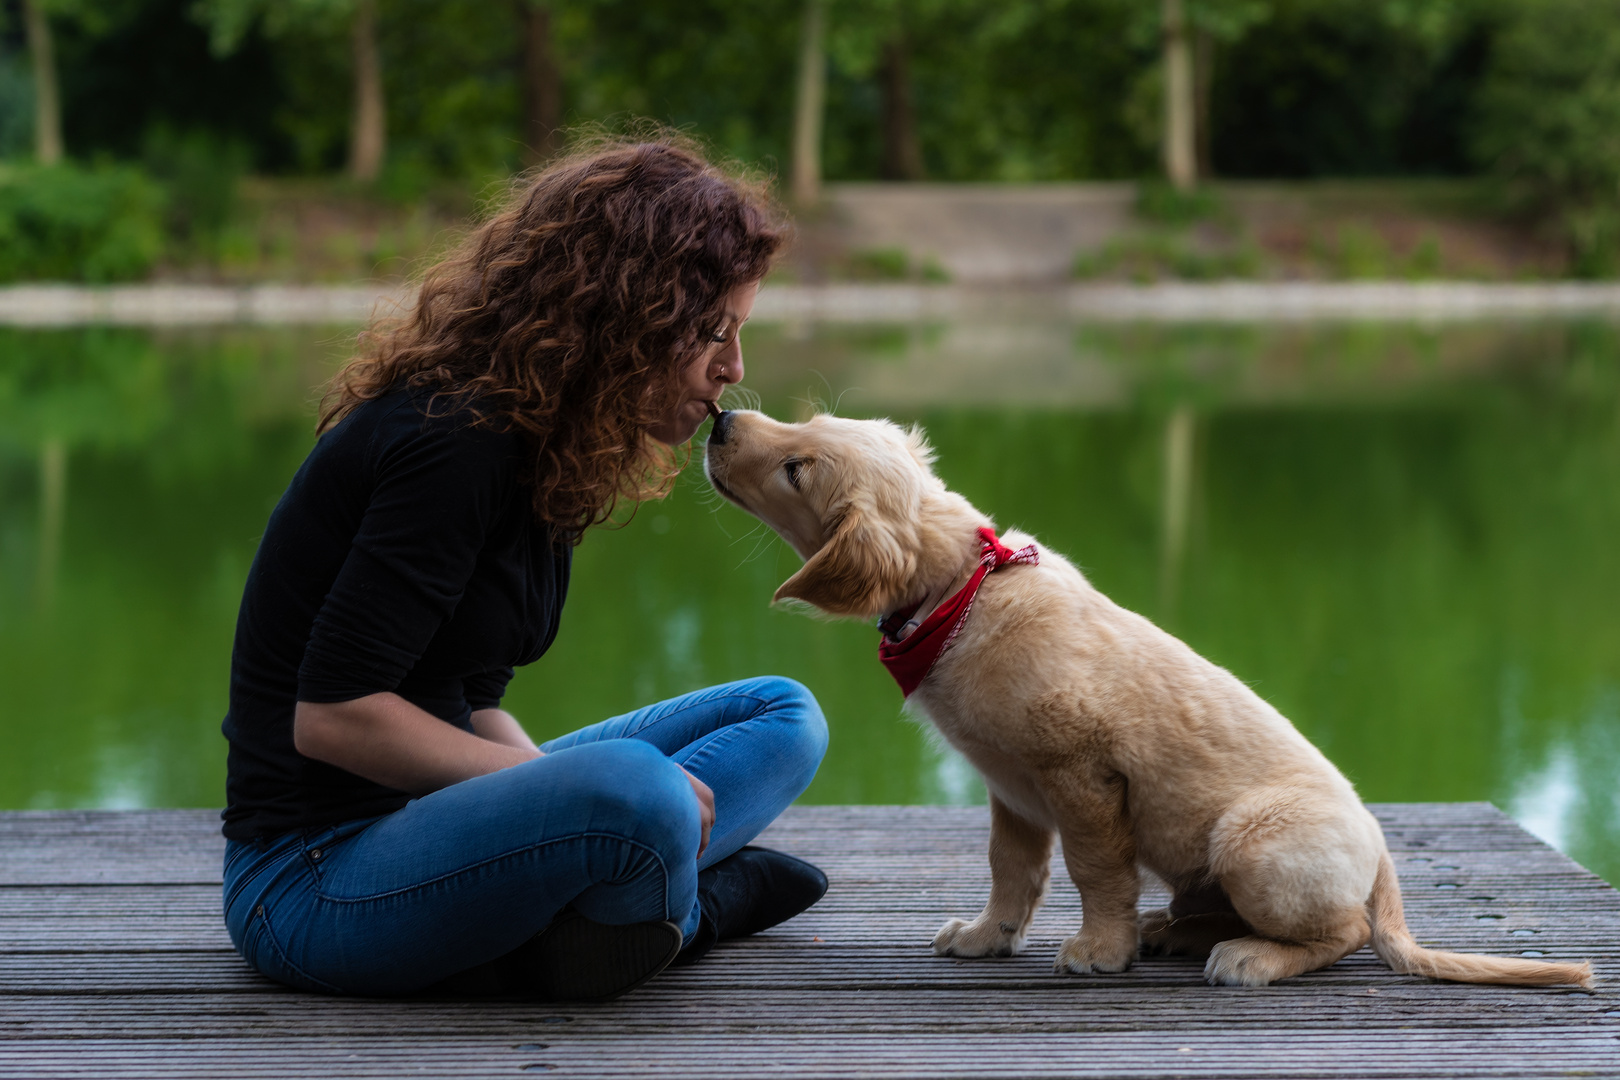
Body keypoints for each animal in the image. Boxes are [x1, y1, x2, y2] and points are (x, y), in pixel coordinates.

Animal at [709, 411, 1594, 990]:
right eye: (804, 422)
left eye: (797, 469)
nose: (719, 419)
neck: (963, 592)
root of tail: (1382, 863)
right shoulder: (1012, 790)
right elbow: (1011, 870)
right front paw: (988, 936)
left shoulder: (1082, 775)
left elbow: (1094, 869)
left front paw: (1100, 949)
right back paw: (1174, 929)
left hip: (1250, 840)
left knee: (1342, 932)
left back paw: (1247, 957)